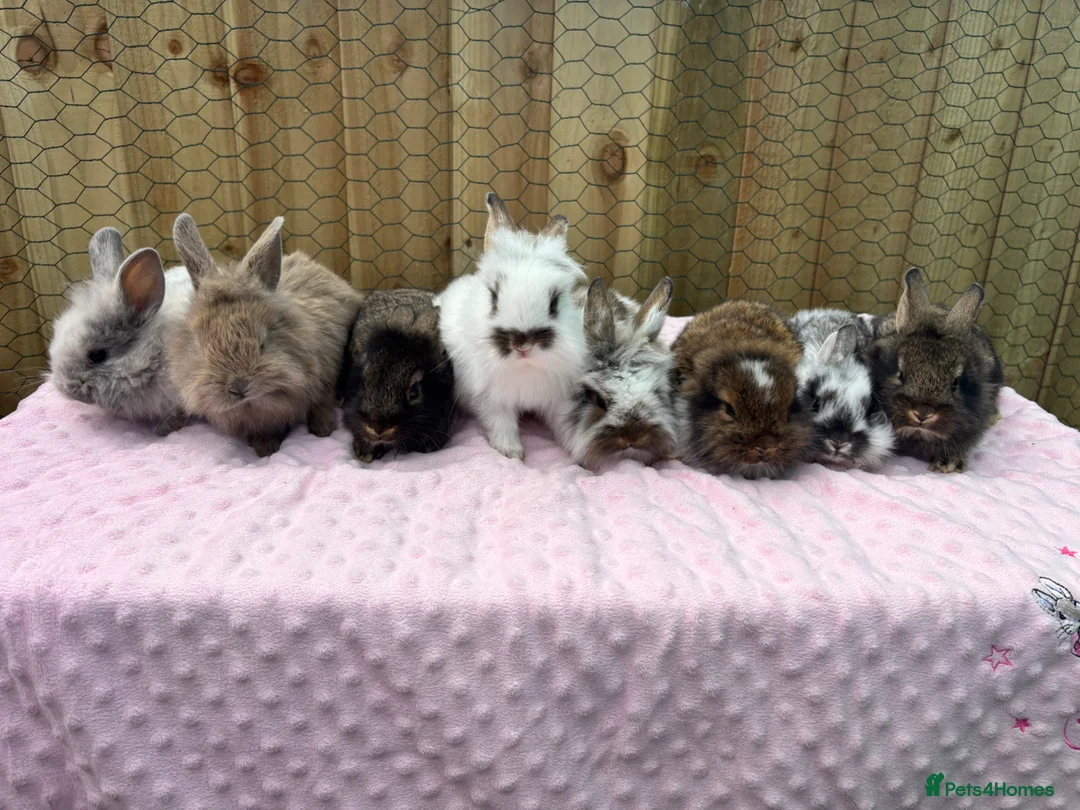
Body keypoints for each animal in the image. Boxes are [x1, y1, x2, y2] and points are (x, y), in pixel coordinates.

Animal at [168, 214, 363, 457]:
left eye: (262, 344)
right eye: (202, 350)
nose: (239, 387)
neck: (254, 405)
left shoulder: (325, 378)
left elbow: (322, 406)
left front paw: (323, 431)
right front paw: (264, 449)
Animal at [434, 192, 587, 460]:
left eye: (554, 303)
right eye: (493, 297)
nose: (523, 343)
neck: (525, 367)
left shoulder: (558, 397)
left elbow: (565, 425)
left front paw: (580, 451)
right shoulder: (492, 399)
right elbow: (501, 423)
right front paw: (511, 452)